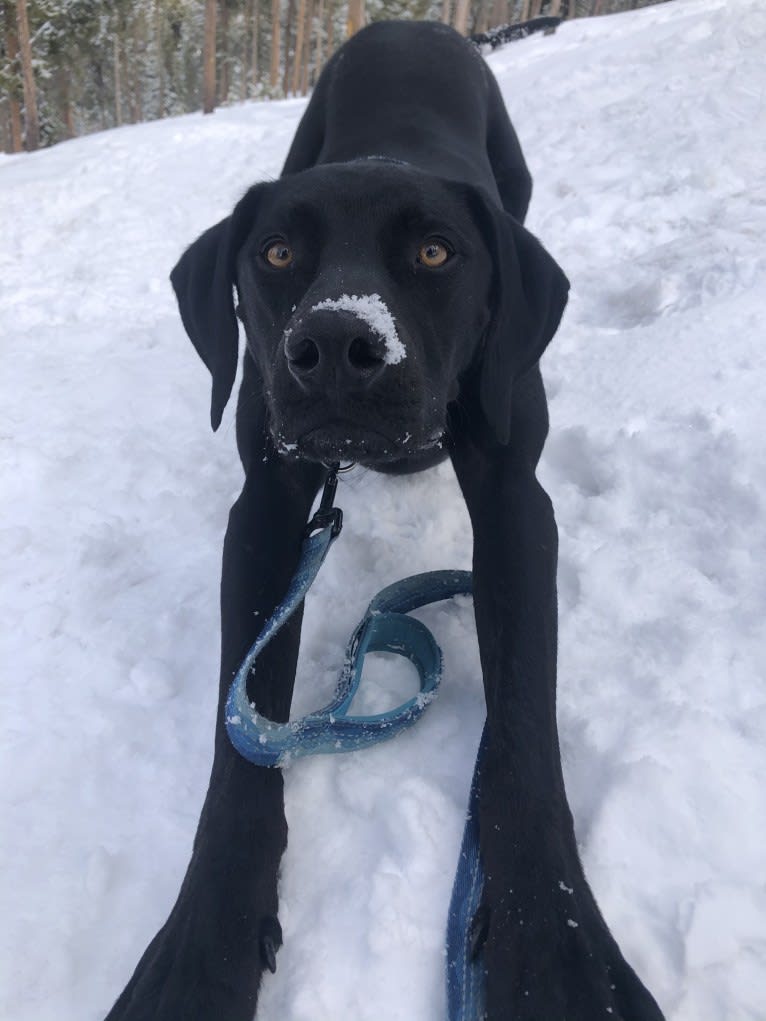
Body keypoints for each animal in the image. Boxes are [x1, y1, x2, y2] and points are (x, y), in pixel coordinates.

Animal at [105, 17, 669, 1021]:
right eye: (276, 254)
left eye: (437, 253)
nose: (335, 344)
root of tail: (413, 23)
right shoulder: (266, 506)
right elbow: (240, 741)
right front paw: (201, 948)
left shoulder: (517, 504)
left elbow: (524, 735)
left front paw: (557, 950)